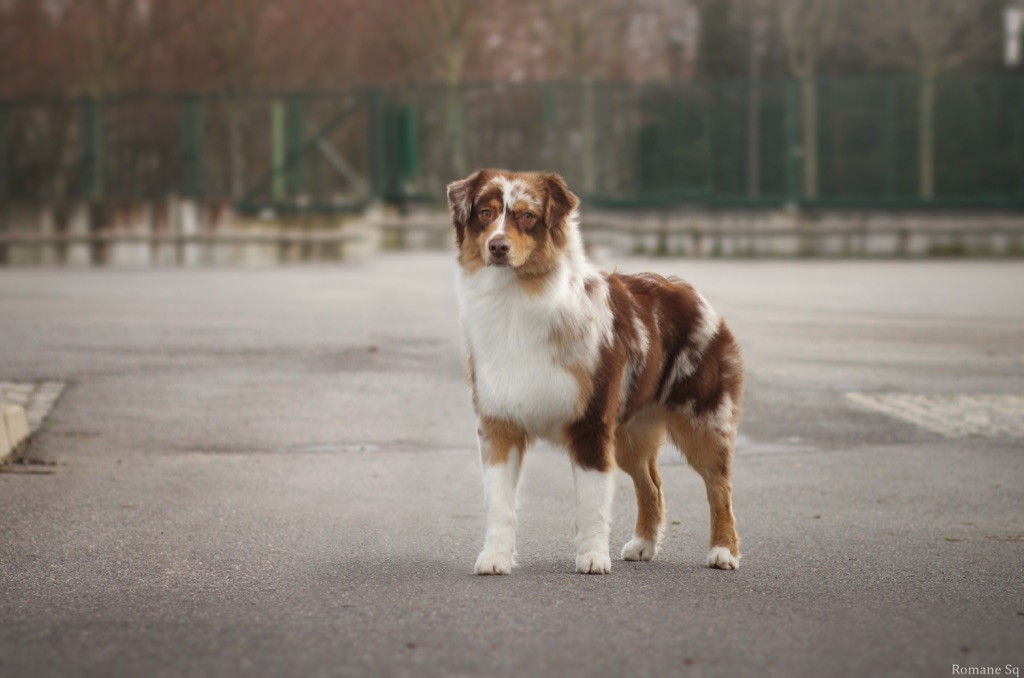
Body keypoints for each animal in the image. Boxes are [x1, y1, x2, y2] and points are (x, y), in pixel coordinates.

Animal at [448, 168, 745, 573]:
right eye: (485, 213)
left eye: (527, 216)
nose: (498, 247)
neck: (517, 297)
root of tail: (687, 290)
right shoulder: (499, 423)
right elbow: (499, 504)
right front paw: (494, 557)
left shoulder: (591, 423)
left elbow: (591, 503)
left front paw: (591, 558)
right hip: (629, 430)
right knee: (651, 484)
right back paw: (643, 544)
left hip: (702, 418)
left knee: (719, 486)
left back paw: (724, 551)